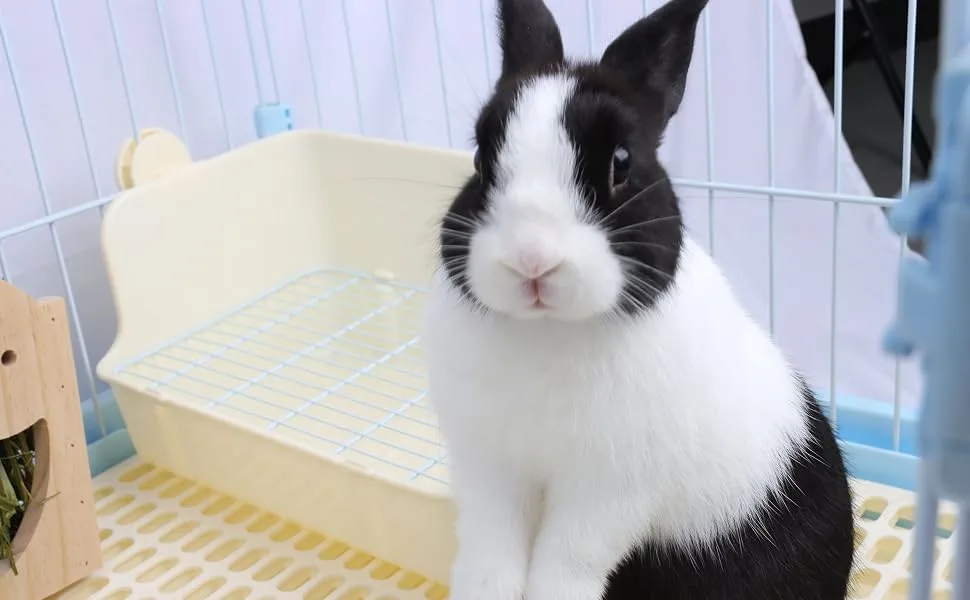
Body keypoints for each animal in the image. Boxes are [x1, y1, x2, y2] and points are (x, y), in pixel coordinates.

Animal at [419, 0, 856, 598]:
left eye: (622, 162)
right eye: (482, 159)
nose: (532, 260)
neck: (548, 330)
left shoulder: (610, 491)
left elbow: (567, 561)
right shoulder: (491, 468)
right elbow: (491, 552)